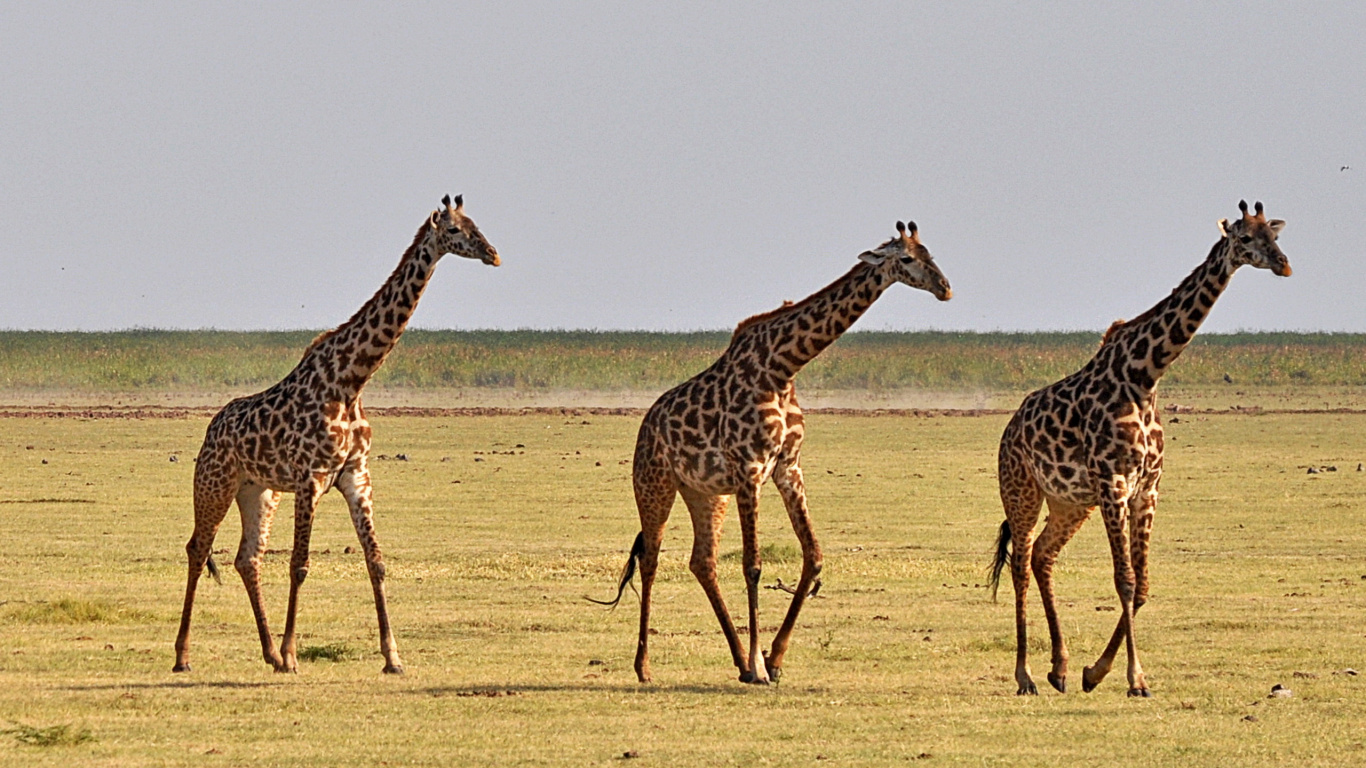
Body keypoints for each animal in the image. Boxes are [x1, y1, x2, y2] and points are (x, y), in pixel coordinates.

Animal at [173, 194, 499, 674]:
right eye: (456, 231)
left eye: (478, 224)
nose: (493, 254)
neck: (351, 380)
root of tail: (212, 429)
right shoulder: (311, 478)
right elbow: (300, 564)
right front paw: (293, 653)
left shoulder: (355, 475)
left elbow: (376, 562)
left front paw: (393, 657)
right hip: (214, 483)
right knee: (198, 548)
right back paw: (185, 656)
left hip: (259, 491)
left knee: (247, 558)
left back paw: (269, 653)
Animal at [593, 220, 952, 684]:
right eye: (907, 258)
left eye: (931, 253)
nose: (945, 288)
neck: (783, 368)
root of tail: (646, 425)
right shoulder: (751, 469)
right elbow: (753, 565)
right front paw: (761, 664)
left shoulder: (787, 468)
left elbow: (813, 556)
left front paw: (773, 658)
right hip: (654, 483)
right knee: (651, 560)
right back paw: (645, 666)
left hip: (707, 493)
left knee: (702, 561)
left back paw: (737, 661)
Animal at [988, 201, 1291, 697]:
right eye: (1245, 238)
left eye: (1275, 235)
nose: (1284, 265)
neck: (1145, 376)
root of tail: (1010, 429)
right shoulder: (1114, 482)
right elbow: (1125, 580)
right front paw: (1134, 678)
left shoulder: (1146, 488)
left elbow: (1144, 584)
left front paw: (1095, 671)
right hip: (1022, 491)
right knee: (1020, 565)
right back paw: (1025, 675)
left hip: (1070, 502)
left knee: (1042, 555)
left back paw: (1059, 669)